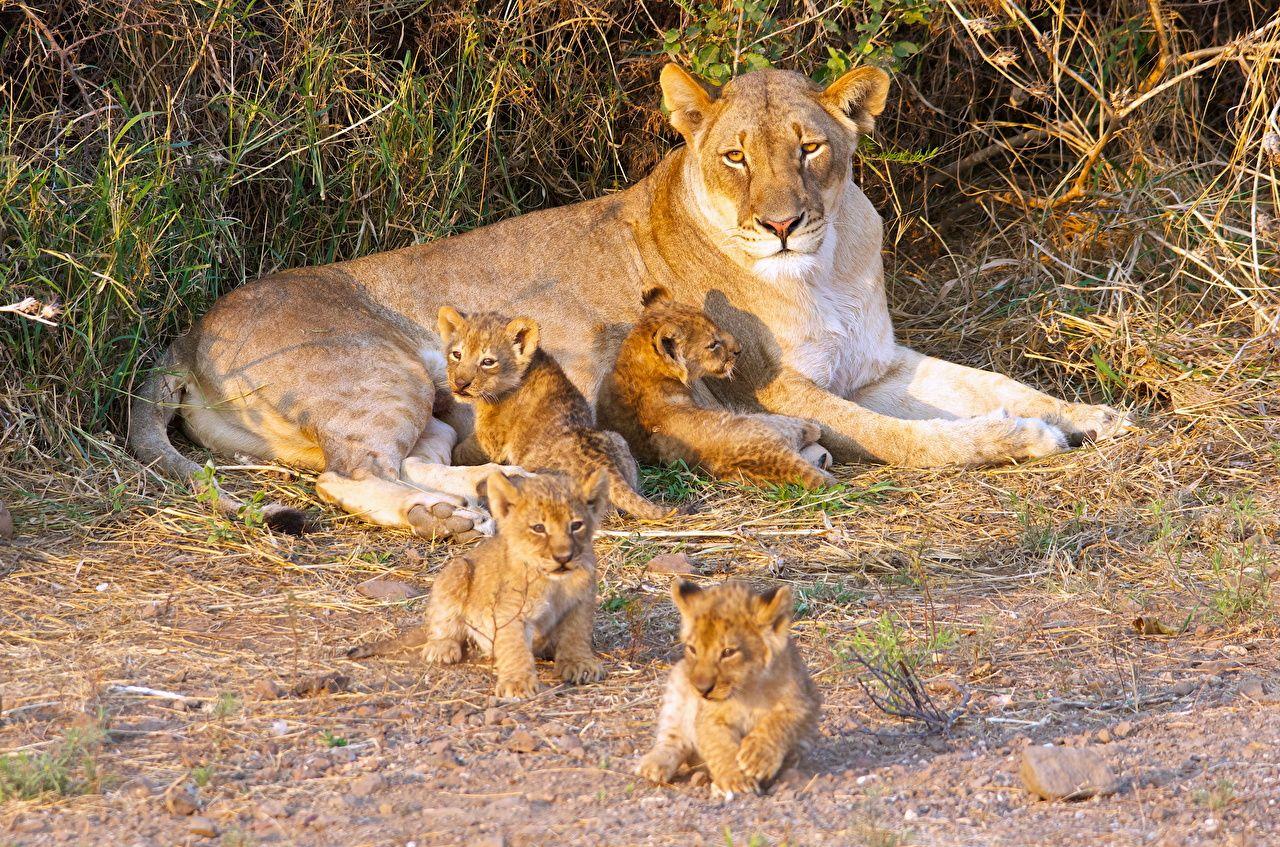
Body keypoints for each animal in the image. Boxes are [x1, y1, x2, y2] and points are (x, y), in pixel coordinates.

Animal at [129, 63, 1130, 538]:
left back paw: (490, 494)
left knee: (420, 457)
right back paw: (439, 517)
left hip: (441, 409)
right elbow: (905, 437)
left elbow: (992, 382)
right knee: (349, 474)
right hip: (380, 372)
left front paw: (1091, 414)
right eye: (735, 156)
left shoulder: (878, 362)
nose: (781, 223)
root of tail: (185, 333)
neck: (827, 263)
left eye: (810, 148)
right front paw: (1013, 441)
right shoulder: (766, 386)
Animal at [636, 579, 821, 798]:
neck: (747, 691)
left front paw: (757, 757)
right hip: (678, 683)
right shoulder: (708, 718)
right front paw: (735, 780)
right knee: (673, 738)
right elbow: (721, 747)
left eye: (727, 652)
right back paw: (654, 765)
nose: (702, 690)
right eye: (693, 649)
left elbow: (780, 721)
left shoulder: (805, 701)